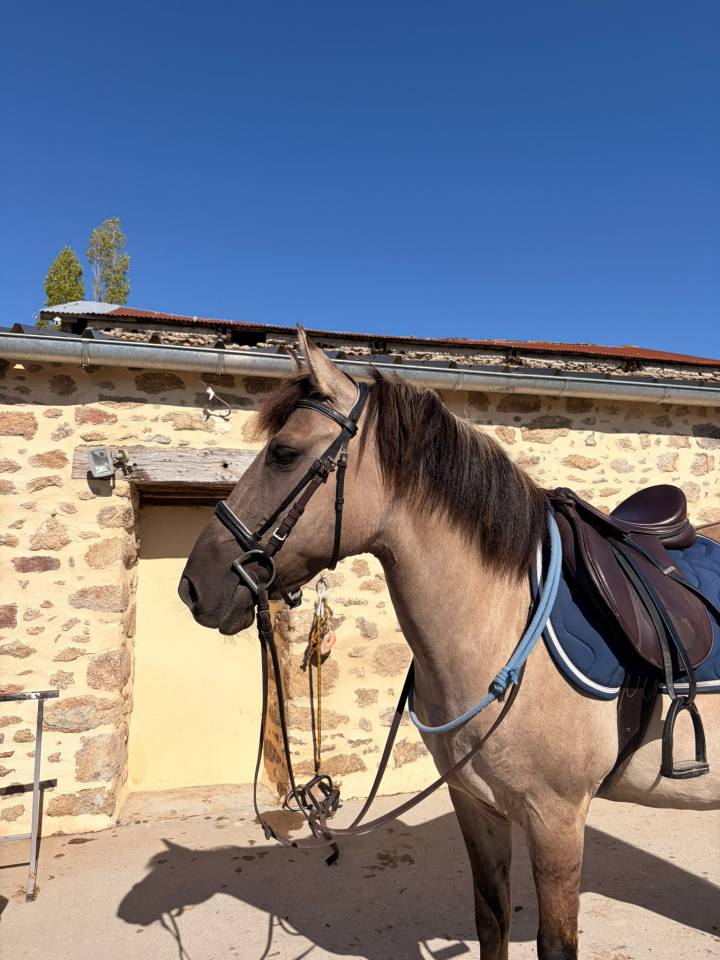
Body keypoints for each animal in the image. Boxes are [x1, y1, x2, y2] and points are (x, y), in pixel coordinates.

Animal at [178, 330, 720, 960]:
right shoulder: (476, 805)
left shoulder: (556, 818)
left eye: (283, 453)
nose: (193, 587)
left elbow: (555, 943)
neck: (498, 626)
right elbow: (492, 920)